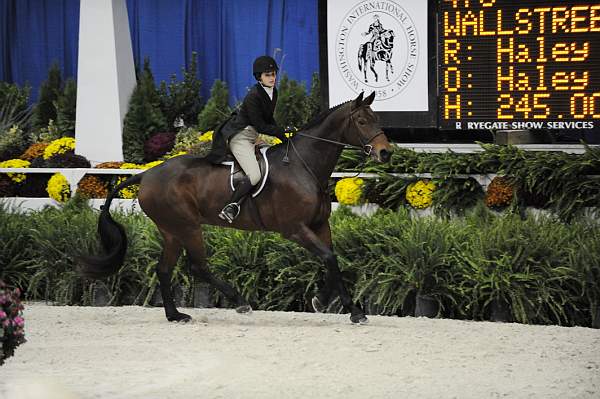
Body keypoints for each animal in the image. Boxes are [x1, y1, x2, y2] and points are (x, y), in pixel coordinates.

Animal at [77, 91, 392, 324]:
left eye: (375, 118)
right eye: (362, 121)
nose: (385, 152)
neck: (305, 165)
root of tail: (146, 174)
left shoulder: (319, 225)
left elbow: (332, 259)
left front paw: (324, 301)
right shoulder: (295, 229)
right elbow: (328, 257)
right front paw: (353, 311)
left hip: (172, 231)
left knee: (164, 269)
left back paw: (175, 315)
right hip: (187, 227)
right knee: (197, 266)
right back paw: (240, 302)